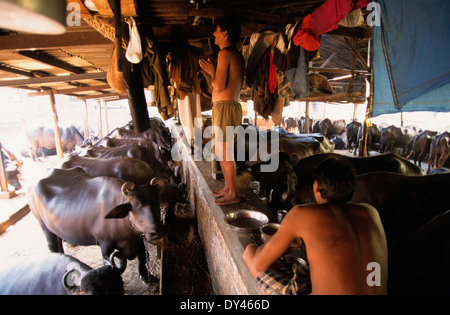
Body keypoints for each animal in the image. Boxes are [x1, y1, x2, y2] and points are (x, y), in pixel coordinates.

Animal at [27, 169, 163, 286]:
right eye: (135, 204)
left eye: (157, 202)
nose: (156, 233)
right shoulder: (105, 246)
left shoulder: (137, 239)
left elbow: (143, 258)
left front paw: (147, 278)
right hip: (43, 225)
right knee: (53, 246)